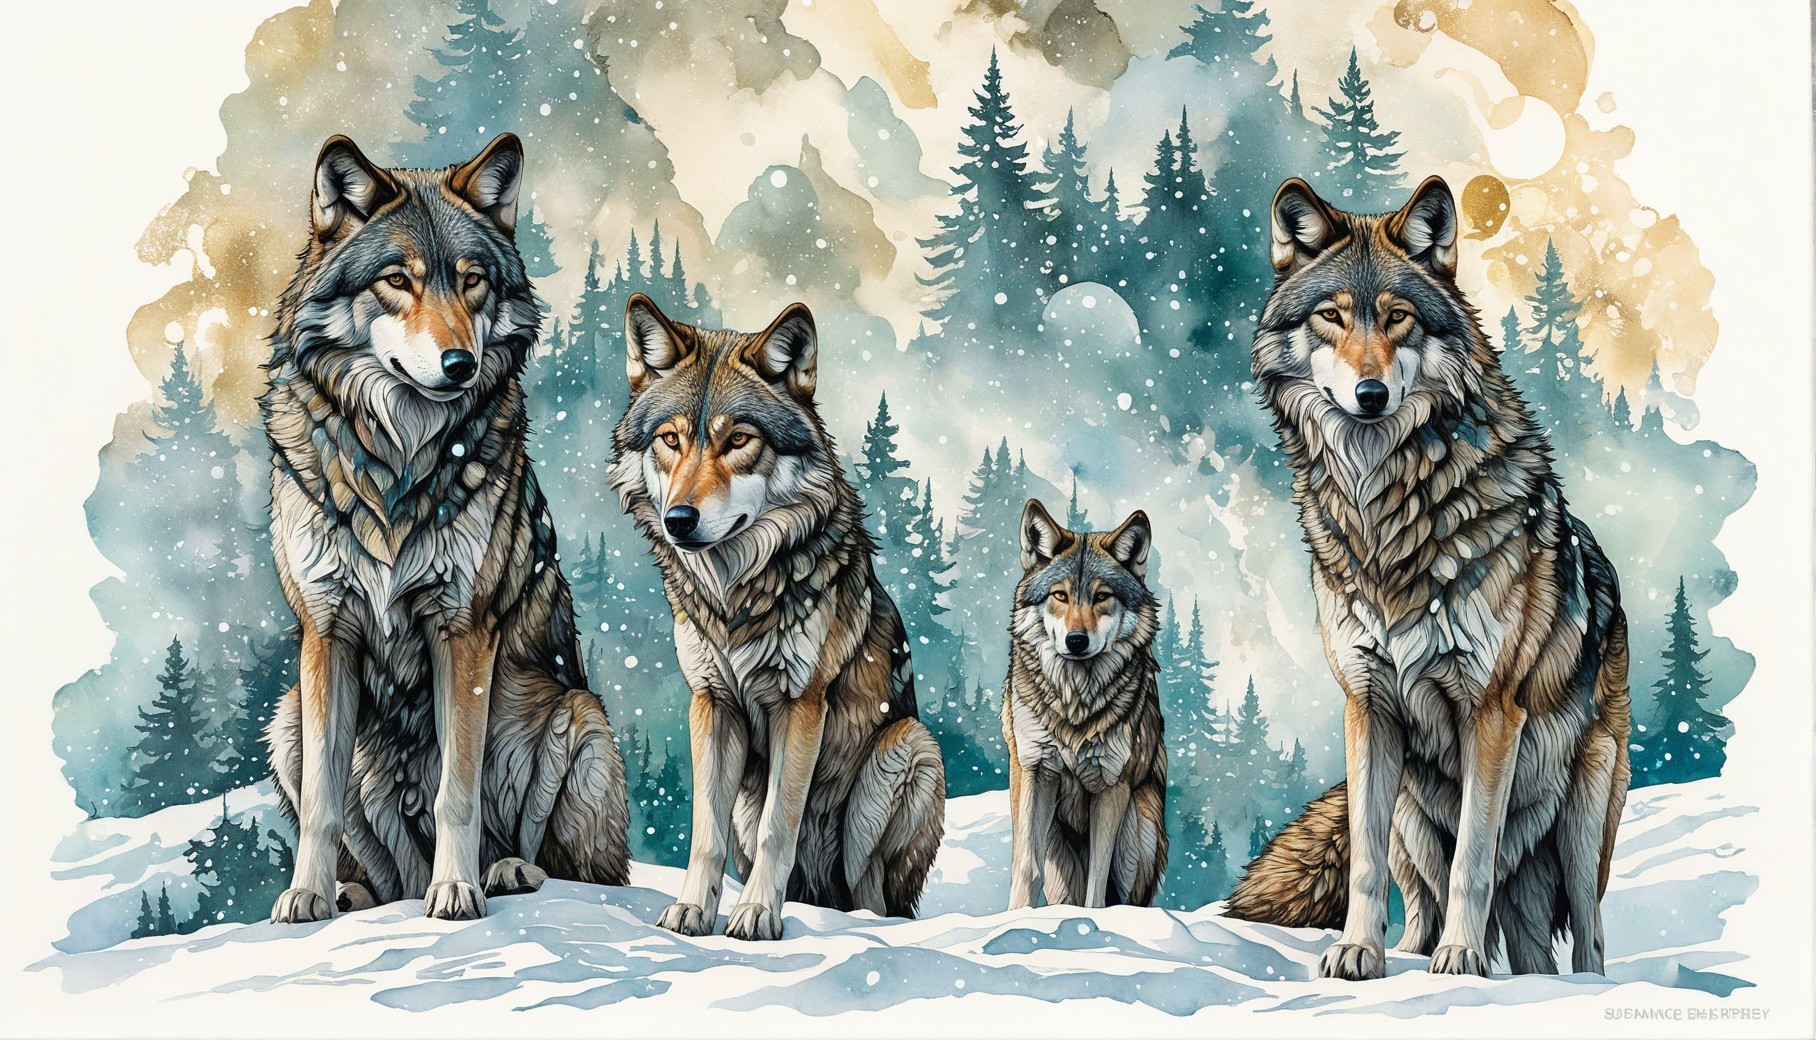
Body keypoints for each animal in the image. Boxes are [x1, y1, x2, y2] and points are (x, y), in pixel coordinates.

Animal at [260, 134, 630, 923]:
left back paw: (506, 872)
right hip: (286, 720)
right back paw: (356, 893)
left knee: (586, 871)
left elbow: (456, 790)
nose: (461, 363)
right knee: (374, 862)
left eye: (473, 282)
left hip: (578, 718)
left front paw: (456, 889)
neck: (396, 464)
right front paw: (304, 894)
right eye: (398, 280)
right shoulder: (325, 631)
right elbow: (319, 804)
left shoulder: (463, 630)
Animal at [608, 294, 946, 940]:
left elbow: (777, 826)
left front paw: (758, 913)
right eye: (670, 439)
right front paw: (693, 910)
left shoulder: (801, 705)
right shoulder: (711, 703)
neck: (736, 595)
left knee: (870, 892)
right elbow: (705, 833)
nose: (678, 520)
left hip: (906, 750)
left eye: (740, 439)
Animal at [1003, 499, 1166, 909]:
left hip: (1139, 830)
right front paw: (1015, 916)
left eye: (1101, 596)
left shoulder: (1112, 784)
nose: (1076, 640)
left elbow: (1098, 881)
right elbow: (1026, 866)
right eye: (1060, 595)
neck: (1074, 701)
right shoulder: (1034, 769)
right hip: (1056, 845)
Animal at [1224, 176, 1632, 979]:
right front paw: (1357, 952)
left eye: (1398, 317)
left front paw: (1463, 961)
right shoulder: (1368, 705)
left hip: (1583, 814)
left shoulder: (1492, 712)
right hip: (1413, 813)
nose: (1371, 394)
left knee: (1591, 937)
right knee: (1423, 903)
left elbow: (1474, 857)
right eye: (1331, 317)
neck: (1388, 509)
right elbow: (1363, 864)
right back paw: (1412, 952)